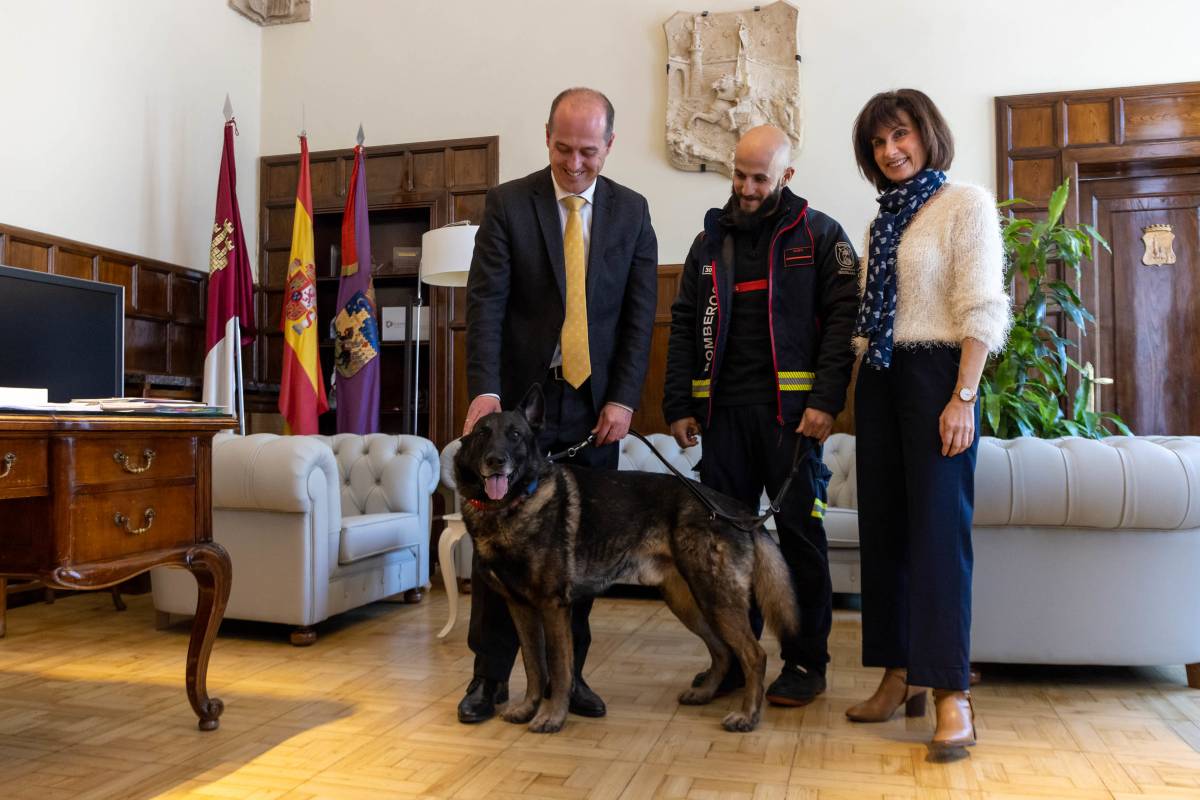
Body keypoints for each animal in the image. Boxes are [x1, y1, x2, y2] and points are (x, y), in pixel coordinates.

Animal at [453, 383, 801, 734]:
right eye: (482, 434)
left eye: (515, 435)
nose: (496, 461)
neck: (513, 506)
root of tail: (735, 509)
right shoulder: (520, 607)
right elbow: (533, 665)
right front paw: (527, 708)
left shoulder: (553, 607)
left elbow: (559, 667)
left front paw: (552, 717)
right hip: (688, 602)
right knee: (722, 651)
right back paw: (704, 694)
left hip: (715, 598)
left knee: (754, 655)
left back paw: (748, 716)